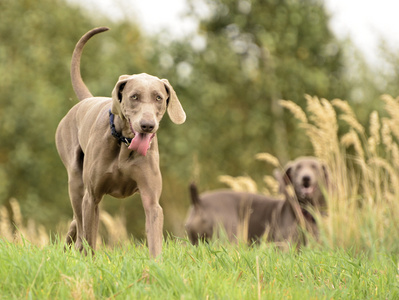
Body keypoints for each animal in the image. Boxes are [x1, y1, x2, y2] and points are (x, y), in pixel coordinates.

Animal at [55, 27, 187, 258]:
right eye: (134, 96)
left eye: (159, 98)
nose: (147, 125)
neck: (124, 144)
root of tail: (86, 100)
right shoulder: (92, 197)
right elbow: (90, 237)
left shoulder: (152, 200)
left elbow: (154, 237)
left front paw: (155, 265)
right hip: (75, 180)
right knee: (79, 223)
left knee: (75, 222)